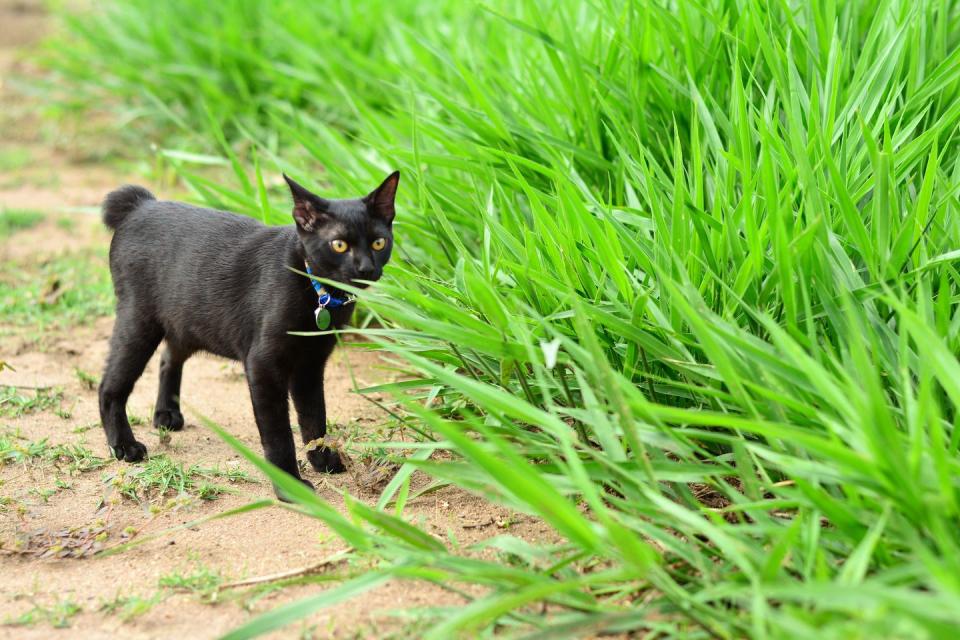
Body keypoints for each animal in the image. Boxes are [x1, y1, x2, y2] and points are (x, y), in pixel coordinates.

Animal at [96, 172, 398, 498]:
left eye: (379, 242)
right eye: (339, 245)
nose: (365, 268)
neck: (319, 294)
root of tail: (141, 204)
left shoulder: (310, 365)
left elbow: (315, 418)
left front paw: (323, 459)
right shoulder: (263, 364)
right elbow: (279, 433)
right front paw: (290, 486)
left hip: (186, 320)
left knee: (168, 358)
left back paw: (166, 413)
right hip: (139, 321)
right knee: (109, 386)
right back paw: (124, 445)